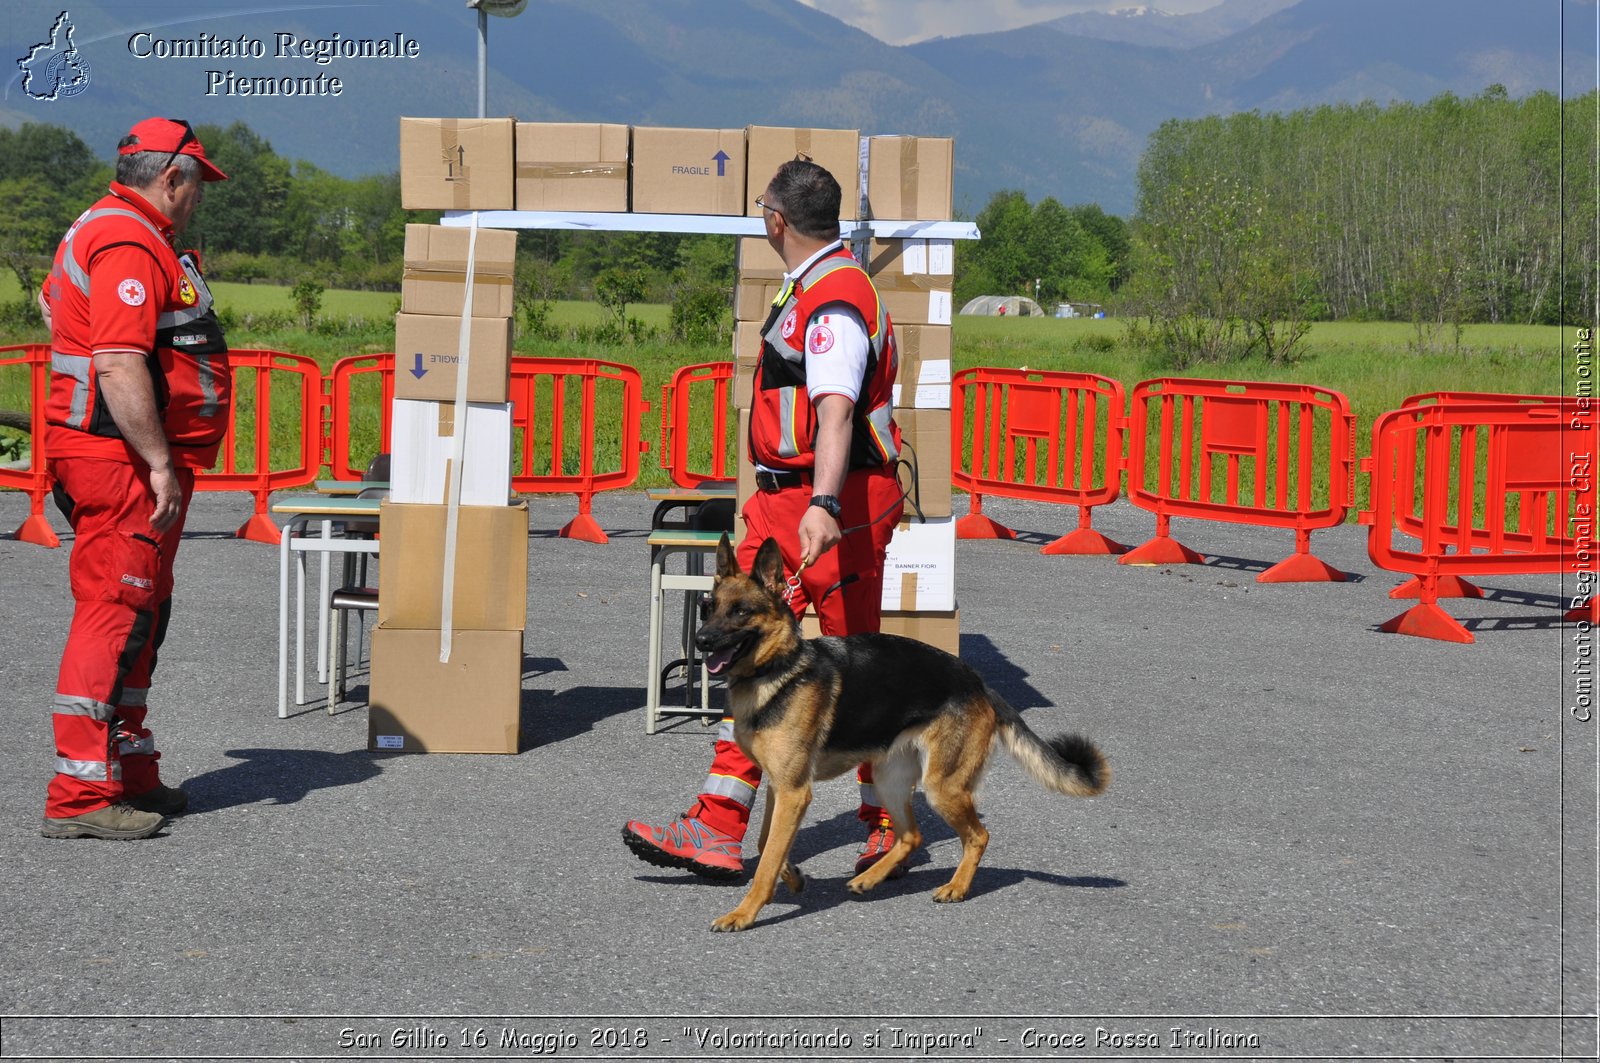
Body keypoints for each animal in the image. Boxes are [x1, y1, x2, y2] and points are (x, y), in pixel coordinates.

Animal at [700, 534, 1113, 928]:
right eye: (709, 606)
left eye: (741, 611)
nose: (701, 640)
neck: (778, 668)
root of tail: (978, 683)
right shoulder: (781, 787)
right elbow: (766, 842)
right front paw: (792, 875)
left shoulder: (794, 791)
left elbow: (767, 858)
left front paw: (744, 913)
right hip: (891, 779)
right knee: (912, 835)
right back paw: (870, 878)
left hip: (942, 787)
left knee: (978, 835)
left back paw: (956, 887)